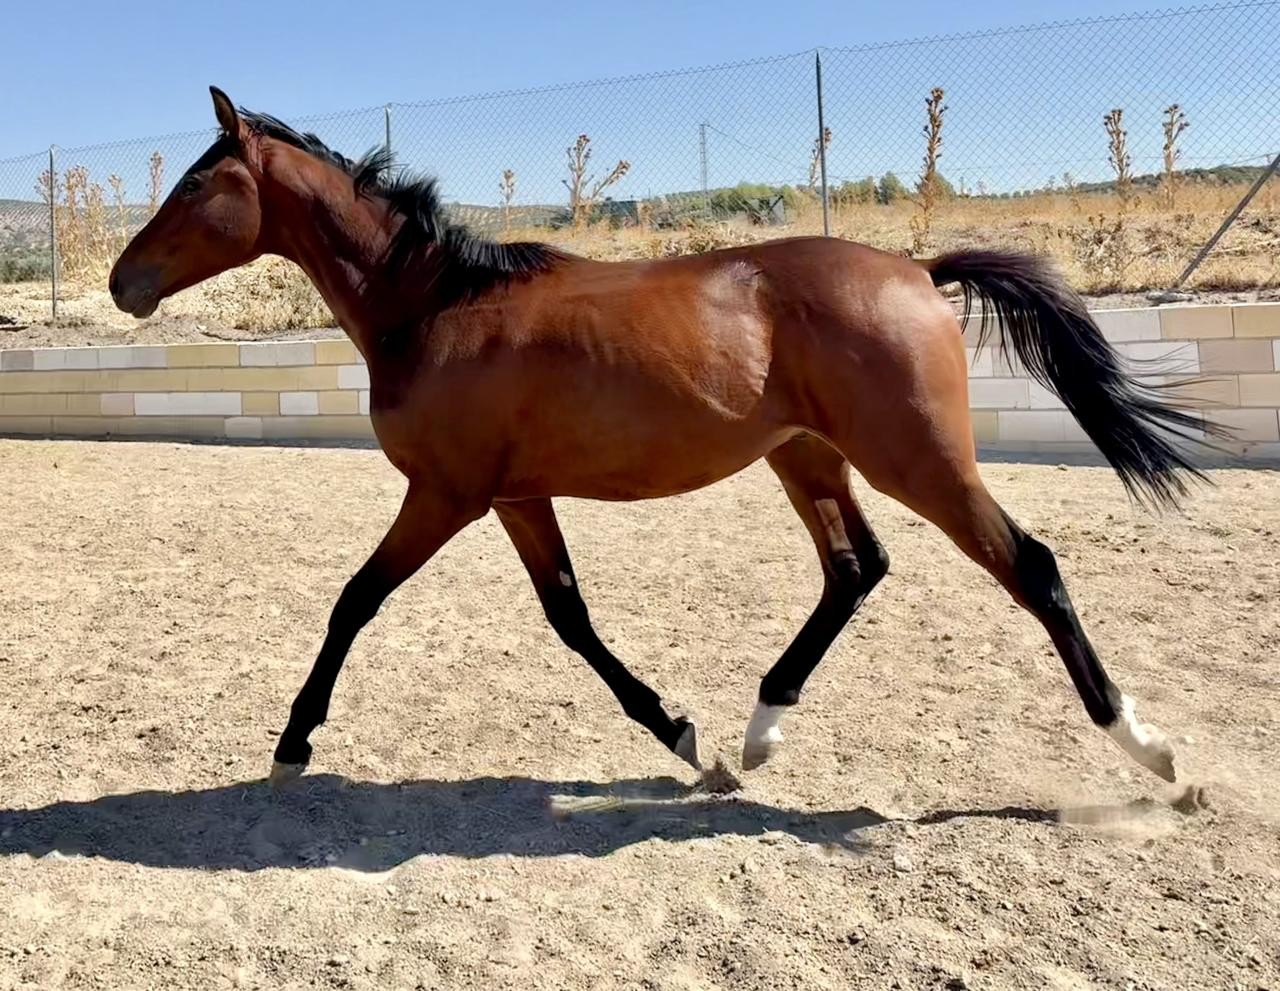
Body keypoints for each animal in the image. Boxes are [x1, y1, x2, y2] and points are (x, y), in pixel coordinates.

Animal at [110, 87, 1215, 789]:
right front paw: (684, 736)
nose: (124, 282)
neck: (435, 306)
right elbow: (568, 615)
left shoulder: (446, 492)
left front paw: (291, 744)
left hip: (917, 459)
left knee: (1028, 564)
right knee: (855, 567)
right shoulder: (514, 496)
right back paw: (759, 732)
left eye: (196, 186)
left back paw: (1154, 754)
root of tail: (915, 270)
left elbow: (353, 602)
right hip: (806, 454)